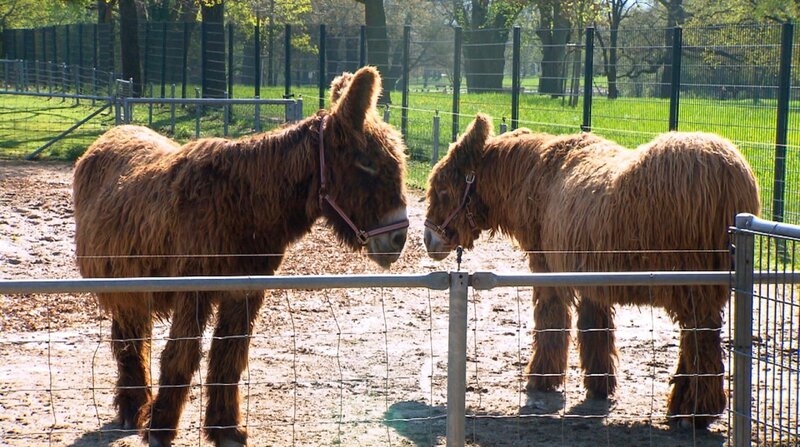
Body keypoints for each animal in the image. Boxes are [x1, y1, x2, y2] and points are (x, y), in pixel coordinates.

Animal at [73, 66, 409, 446]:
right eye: (366, 164)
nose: (399, 238)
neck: (245, 204)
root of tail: (115, 131)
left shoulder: (245, 291)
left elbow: (229, 356)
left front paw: (226, 429)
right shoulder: (194, 288)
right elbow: (182, 355)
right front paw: (160, 430)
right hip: (122, 285)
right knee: (129, 340)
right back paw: (133, 409)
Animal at [423, 114, 760, 428]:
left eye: (443, 191)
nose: (428, 239)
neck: (535, 178)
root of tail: (731, 172)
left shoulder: (547, 268)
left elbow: (551, 320)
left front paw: (542, 379)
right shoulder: (590, 276)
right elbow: (594, 327)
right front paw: (600, 385)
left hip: (693, 286)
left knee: (700, 339)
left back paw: (696, 411)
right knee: (698, 338)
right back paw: (683, 406)